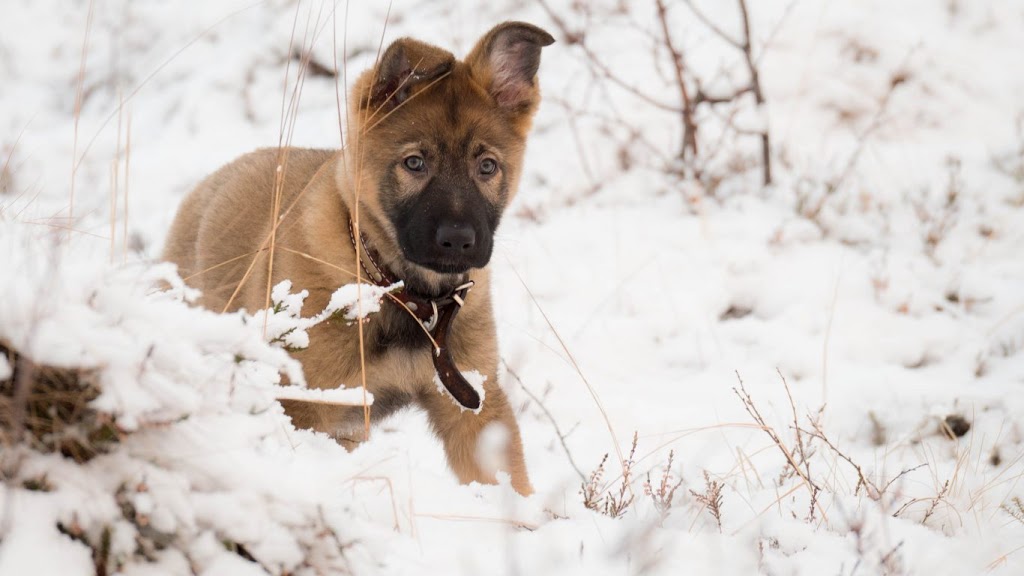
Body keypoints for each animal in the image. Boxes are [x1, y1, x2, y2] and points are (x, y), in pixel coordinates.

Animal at [161, 22, 552, 494]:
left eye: (488, 167)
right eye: (414, 163)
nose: (459, 241)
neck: (402, 293)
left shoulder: (472, 401)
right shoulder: (305, 404)